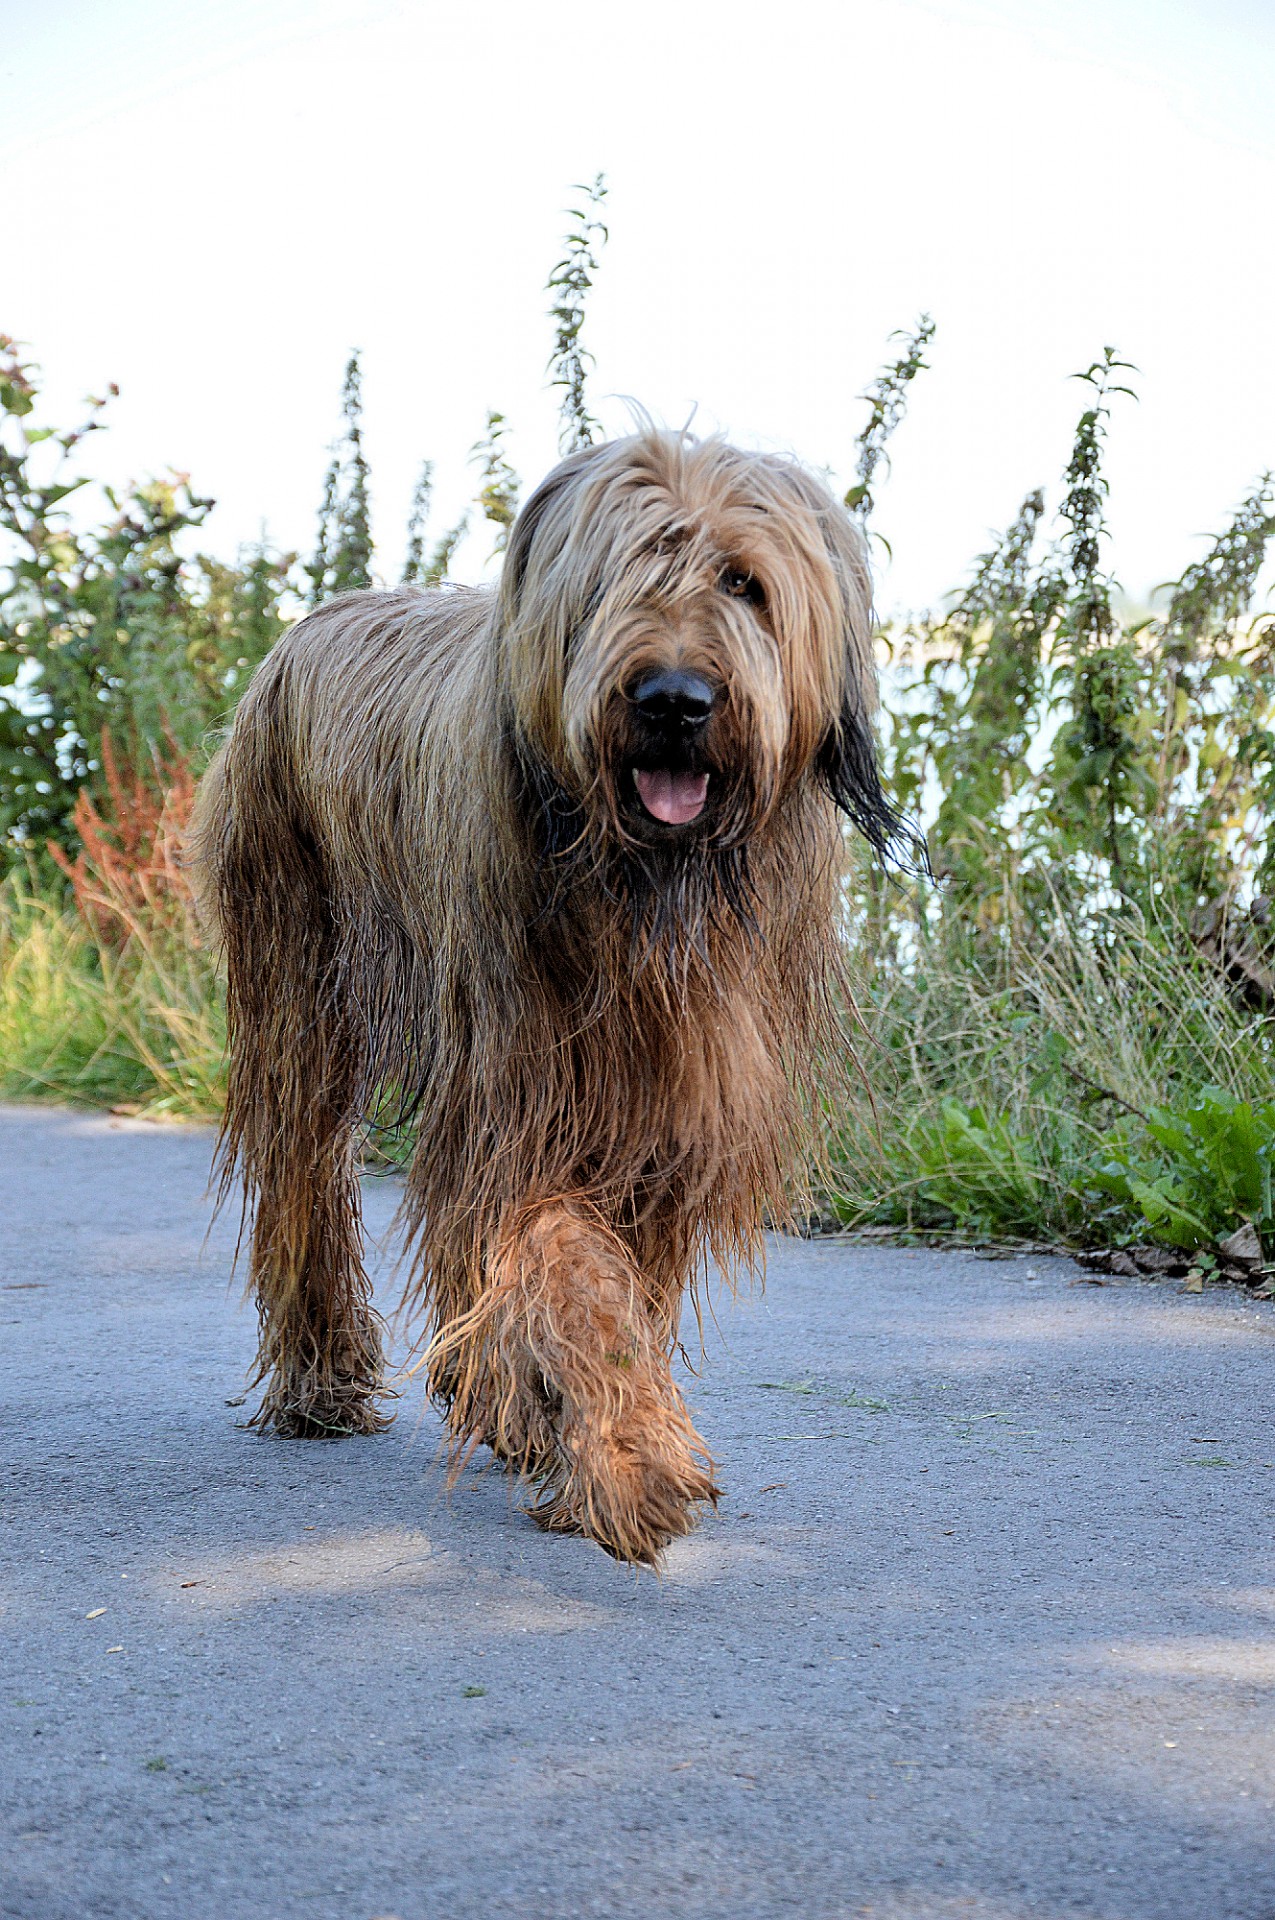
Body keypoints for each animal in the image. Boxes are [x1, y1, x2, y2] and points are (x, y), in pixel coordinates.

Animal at [192, 428, 906, 1566]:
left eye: (743, 583)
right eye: (614, 578)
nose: (672, 701)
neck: (645, 890)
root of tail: (309, 624)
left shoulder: (674, 1103)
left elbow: (621, 1280)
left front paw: (578, 1433)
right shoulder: (523, 1085)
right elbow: (571, 1275)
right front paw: (630, 1466)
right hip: (299, 967)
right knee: (305, 1172)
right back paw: (327, 1383)